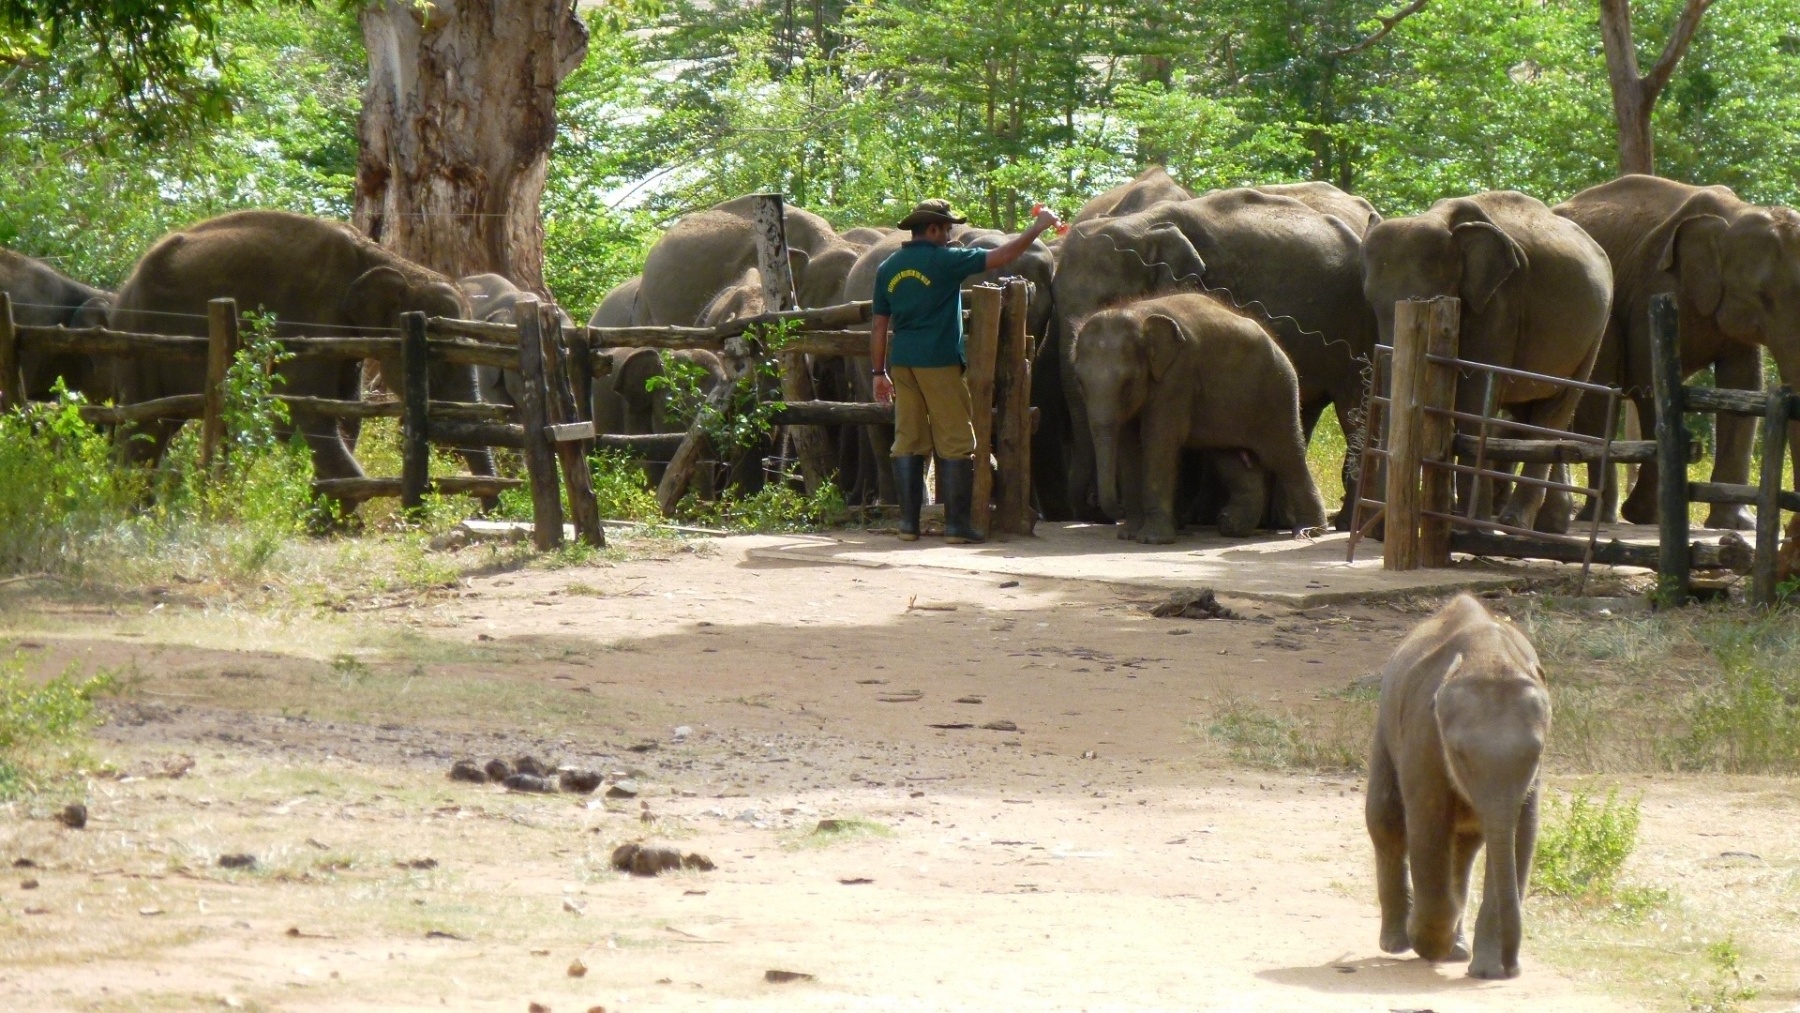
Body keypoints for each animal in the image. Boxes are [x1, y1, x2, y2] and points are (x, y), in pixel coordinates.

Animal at [107, 210, 493, 491]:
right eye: (439, 365)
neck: (383, 258)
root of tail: (126, 283)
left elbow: (344, 412)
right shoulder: (310, 315)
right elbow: (297, 408)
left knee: (161, 426)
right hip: (139, 335)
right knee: (145, 424)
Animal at [1071, 291, 1326, 543]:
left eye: (1128, 384)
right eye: (1080, 383)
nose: (1115, 509)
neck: (1136, 314)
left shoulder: (1176, 376)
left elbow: (1159, 441)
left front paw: (1151, 539)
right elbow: (1129, 446)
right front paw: (1129, 535)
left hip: (1278, 393)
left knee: (1286, 457)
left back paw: (1309, 531)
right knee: (1230, 457)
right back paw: (1230, 525)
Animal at [1362, 191, 1612, 533]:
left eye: (1429, 302)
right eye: (1370, 303)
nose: (1377, 532)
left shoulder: (1500, 305)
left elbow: (1473, 397)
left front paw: (1470, 527)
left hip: (1594, 335)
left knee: (1554, 411)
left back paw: (1515, 522)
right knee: (1529, 410)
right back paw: (1549, 525)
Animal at [1366, 593, 1551, 980]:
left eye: (1536, 752)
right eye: (1459, 753)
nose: (1514, 967)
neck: (1489, 655)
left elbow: (1522, 834)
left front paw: (1487, 972)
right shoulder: (1423, 732)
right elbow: (1427, 823)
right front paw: (1428, 943)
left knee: (1465, 846)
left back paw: (1458, 949)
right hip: (1384, 733)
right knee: (1386, 822)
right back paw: (1399, 943)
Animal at [1556, 175, 1800, 528]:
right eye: (1761, 295)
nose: (1792, 528)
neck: (1735, 214)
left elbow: (1742, 386)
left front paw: (1735, 524)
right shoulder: (1653, 289)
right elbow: (1648, 380)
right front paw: (1647, 515)